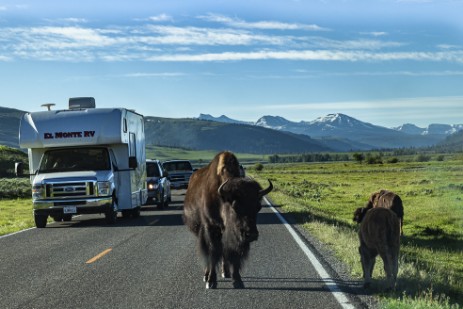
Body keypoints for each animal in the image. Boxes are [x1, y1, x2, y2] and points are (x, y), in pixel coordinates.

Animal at [184, 150, 274, 288]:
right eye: (235, 205)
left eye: (258, 207)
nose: (251, 234)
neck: (222, 199)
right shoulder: (211, 229)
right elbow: (212, 253)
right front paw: (211, 281)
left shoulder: (235, 236)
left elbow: (233, 254)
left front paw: (237, 280)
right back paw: (206, 275)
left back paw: (225, 272)